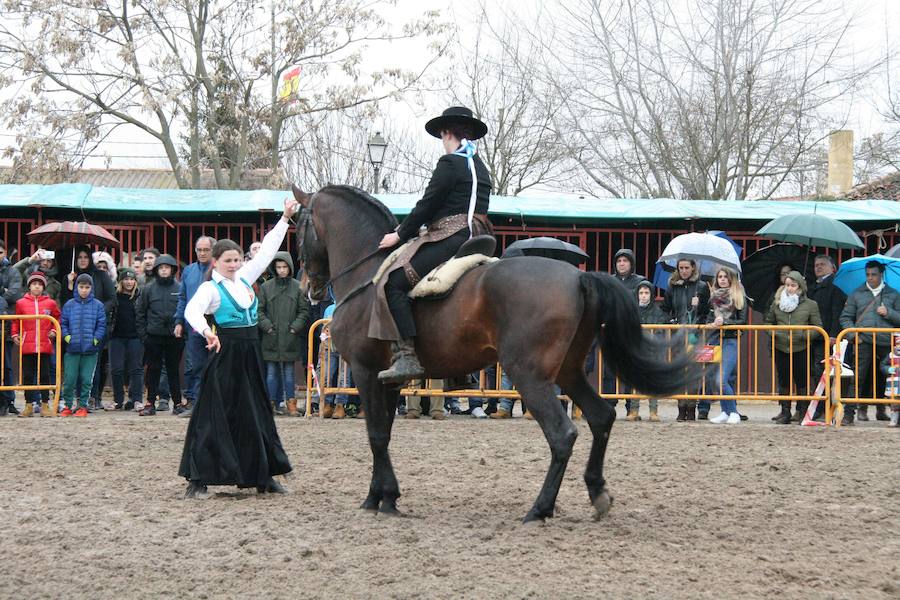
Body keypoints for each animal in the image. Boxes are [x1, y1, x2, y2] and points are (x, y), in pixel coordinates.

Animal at [296, 185, 696, 524]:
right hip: (567, 372)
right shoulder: (388, 381)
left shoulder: (365, 373)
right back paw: (597, 494)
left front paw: (376, 499)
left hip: (529, 375)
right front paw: (386, 497)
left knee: (562, 434)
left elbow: (376, 435)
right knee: (601, 417)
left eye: (299, 224)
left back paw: (539, 509)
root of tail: (578, 276)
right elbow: (385, 433)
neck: (368, 276)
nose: (309, 287)